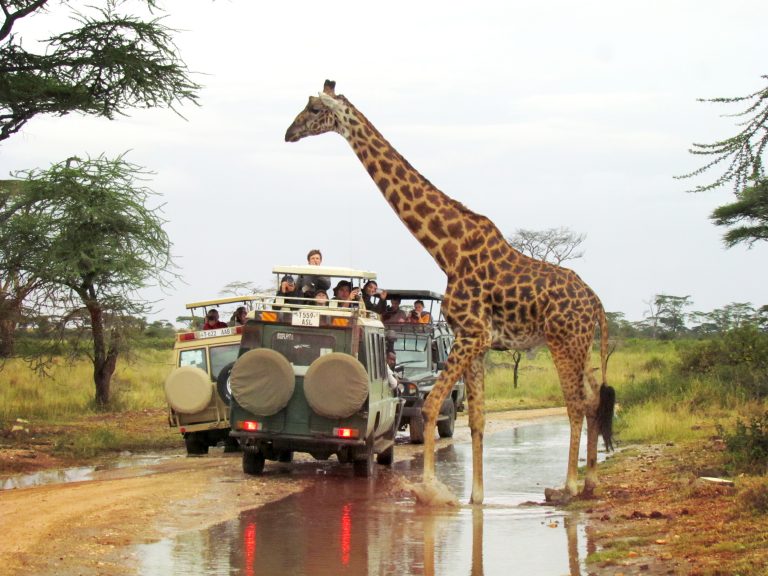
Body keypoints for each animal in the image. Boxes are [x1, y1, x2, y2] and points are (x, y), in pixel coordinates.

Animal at [285, 80, 615, 505]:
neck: (448, 250)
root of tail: (596, 302)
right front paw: (475, 497)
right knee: (592, 399)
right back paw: (590, 482)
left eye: (312, 109)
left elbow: (429, 408)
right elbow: (476, 419)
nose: (288, 132)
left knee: (575, 403)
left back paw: (568, 486)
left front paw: (431, 489)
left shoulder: (474, 334)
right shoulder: (475, 340)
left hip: (563, 340)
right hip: (581, 344)